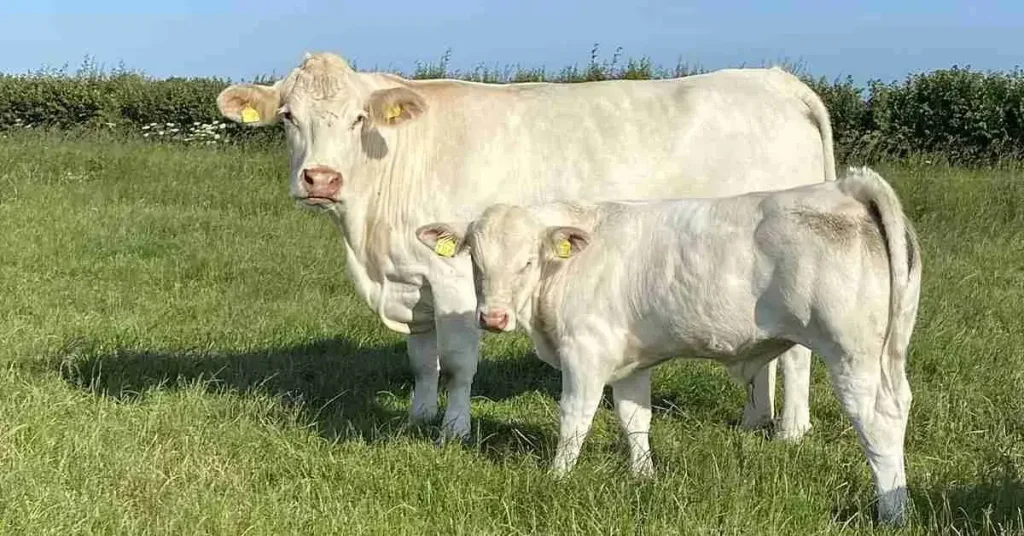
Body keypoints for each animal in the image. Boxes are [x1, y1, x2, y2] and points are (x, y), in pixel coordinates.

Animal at [215, 51, 836, 442]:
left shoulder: (453, 280)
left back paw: (790, 432)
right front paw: (418, 416)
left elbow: (458, 361)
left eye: (358, 117)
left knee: (799, 353)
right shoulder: (413, 282)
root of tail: (776, 80)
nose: (321, 179)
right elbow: (420, 359)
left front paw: (454, 429)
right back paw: (756, 420)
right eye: (288, 117)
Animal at [415, 166, 921, 525]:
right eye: (476, 262)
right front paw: (644, 477)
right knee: (899, 405)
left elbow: (574, 419)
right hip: (886, 354)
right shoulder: (631, 362)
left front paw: (557, 476)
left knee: (878, 420)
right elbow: (634, 418)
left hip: (851, 354)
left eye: (526, 261)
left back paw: (891, 511)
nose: (492, 318)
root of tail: (845, 188)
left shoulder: (585, 353)